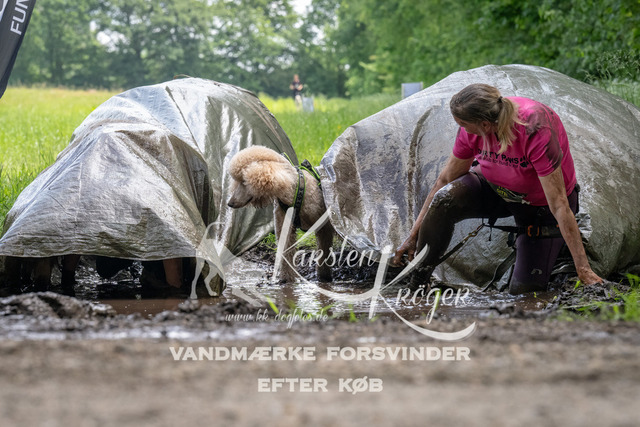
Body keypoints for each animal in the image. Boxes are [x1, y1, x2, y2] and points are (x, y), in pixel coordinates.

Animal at [227, 146, 333, 282]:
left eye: (244, 181)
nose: (230, 203)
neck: (293, 191)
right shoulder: (283, 223)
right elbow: (285, 252)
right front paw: (286, 281)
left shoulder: (324, 226)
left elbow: (324, 251)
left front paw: (323, 278)